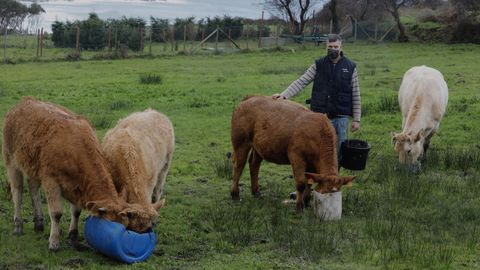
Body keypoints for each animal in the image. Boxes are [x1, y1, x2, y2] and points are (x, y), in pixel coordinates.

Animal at [1, 97, 156, 251]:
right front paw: (54, 242)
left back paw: (39, 223)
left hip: (33, 166)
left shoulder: (77, 186)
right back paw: (18, 225)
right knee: (17, 193)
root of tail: (24, 102)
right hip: (11, 160)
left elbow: (76, 211)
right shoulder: (51, 181)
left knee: (33, 189)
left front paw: (74, 237)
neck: (75, 149)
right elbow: (56, 213)